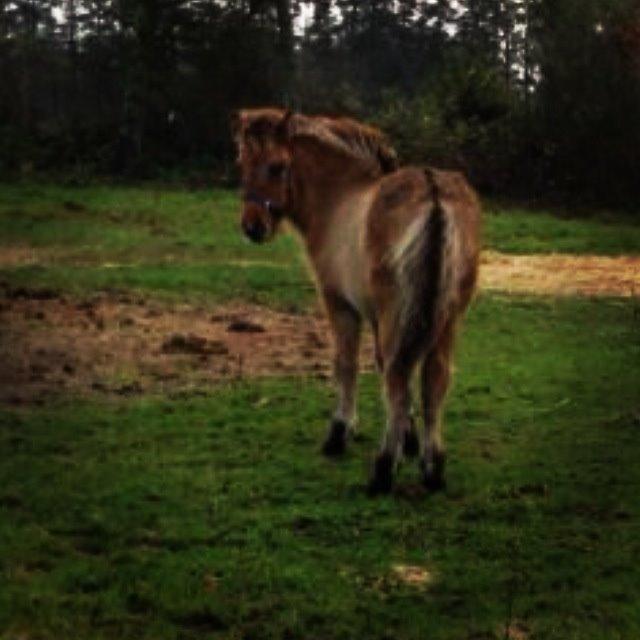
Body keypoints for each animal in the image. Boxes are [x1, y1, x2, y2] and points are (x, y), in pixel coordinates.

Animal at [231, 107, 480, 492]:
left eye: (277, 166)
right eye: (242, 161)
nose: (253, 226)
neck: (340, 198)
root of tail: (434, 194)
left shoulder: (341, 306)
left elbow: (346, 365)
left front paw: (339, 433)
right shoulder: (379, 318)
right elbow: (381, 364)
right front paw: (409, 441)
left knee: (398, 379)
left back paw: (383, 469)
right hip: (448, 319)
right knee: (432, 380)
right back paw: (432, 467)